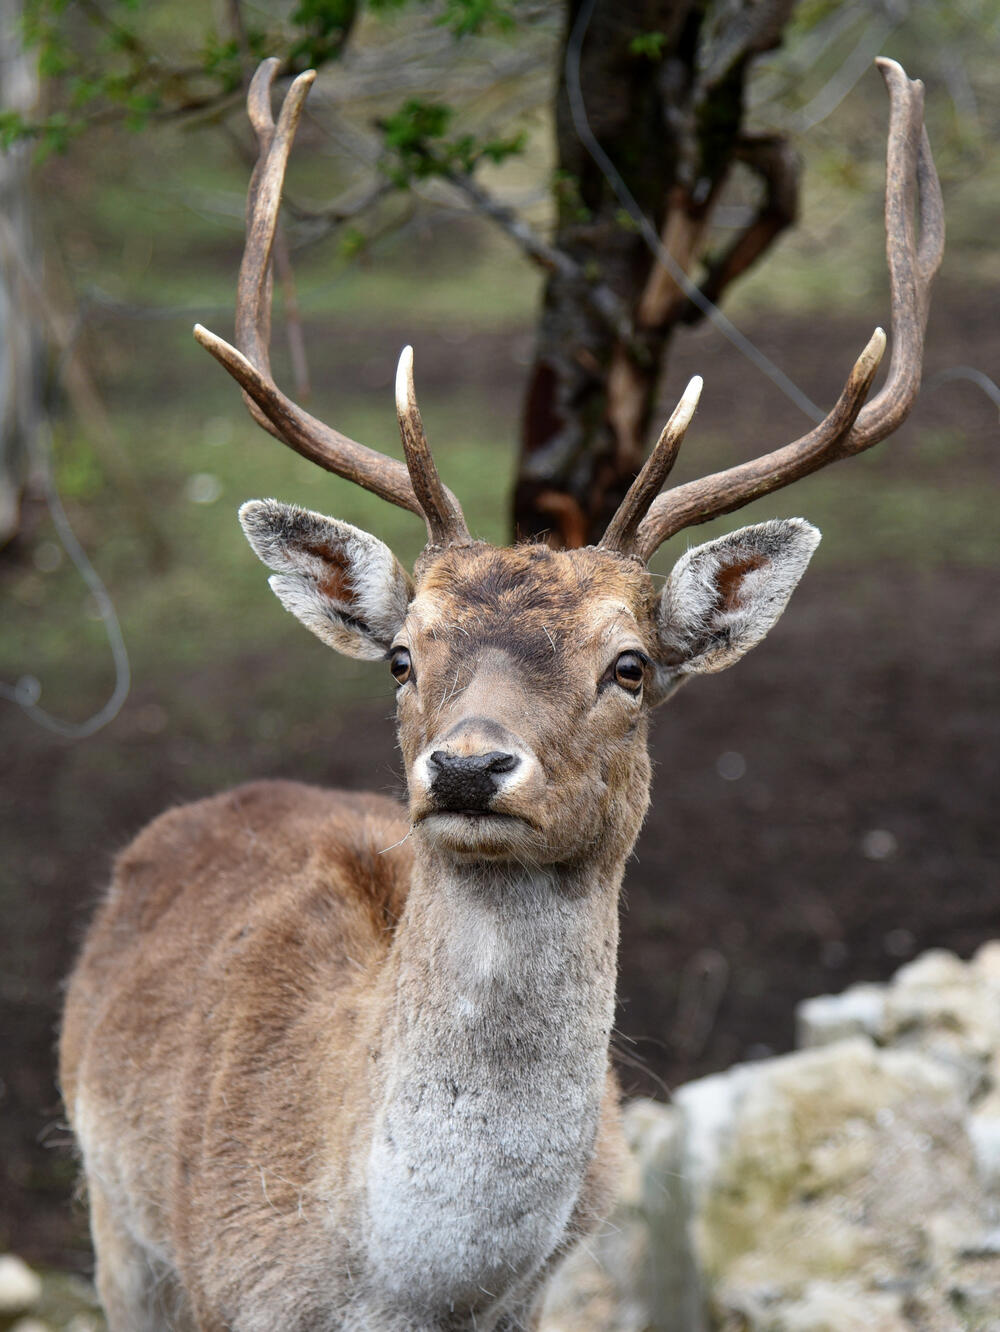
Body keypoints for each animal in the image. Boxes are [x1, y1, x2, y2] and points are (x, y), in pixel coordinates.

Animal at [60, 54, 937, 1332]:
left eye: (631, 666)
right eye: (401, 655)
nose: (469, 765)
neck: (404, 1289)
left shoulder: (539, 1293)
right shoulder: (218, 1285)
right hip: (116, 1223)